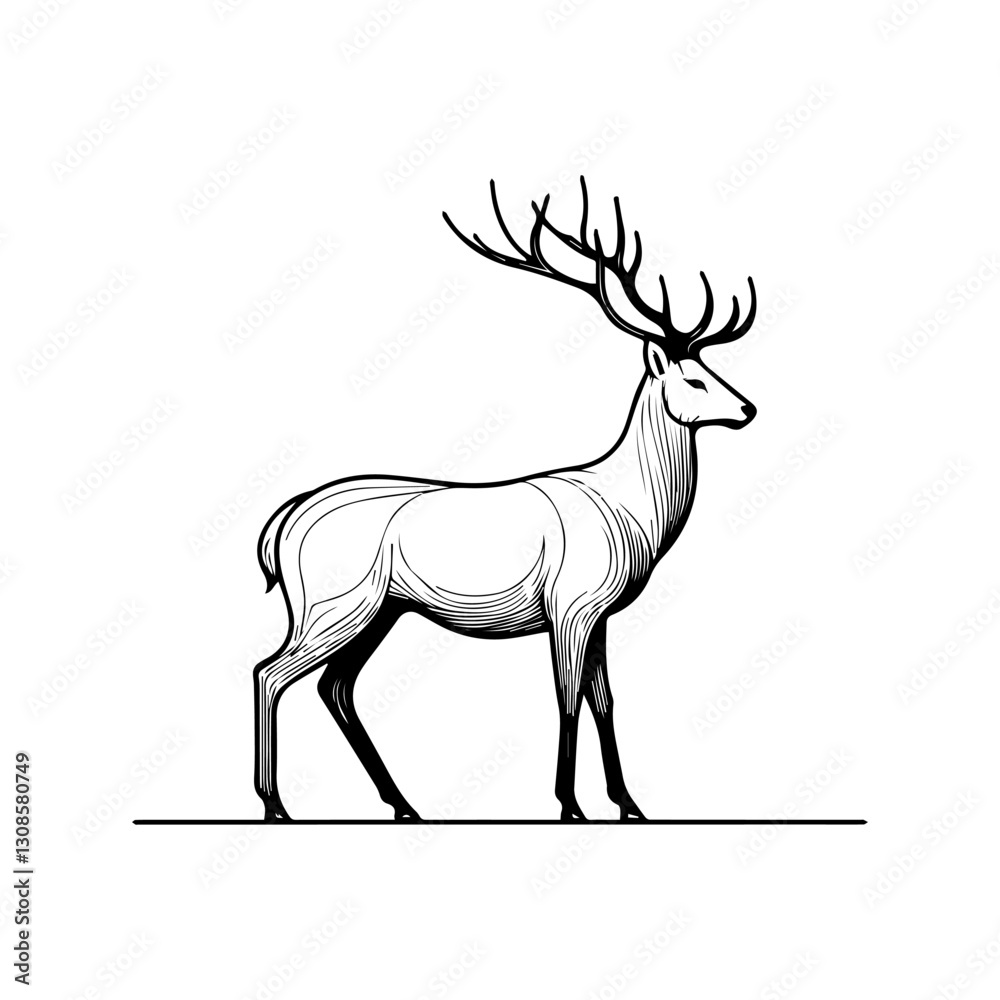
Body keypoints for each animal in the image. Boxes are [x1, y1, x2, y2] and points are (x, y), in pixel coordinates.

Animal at [252, 177, 757, 822]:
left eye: (713, 368)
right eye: (693, 378)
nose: (748, 408)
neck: (633, 515)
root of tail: (281, 526)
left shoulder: (600, 613)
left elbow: (605, 700)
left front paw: (629, 804)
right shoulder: (570, 604)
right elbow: (566, 699)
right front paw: (570, 805)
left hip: (382, 608)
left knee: (334, 686)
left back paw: (404, 804)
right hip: (335, 600)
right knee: (271, 673)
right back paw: (276, 804)